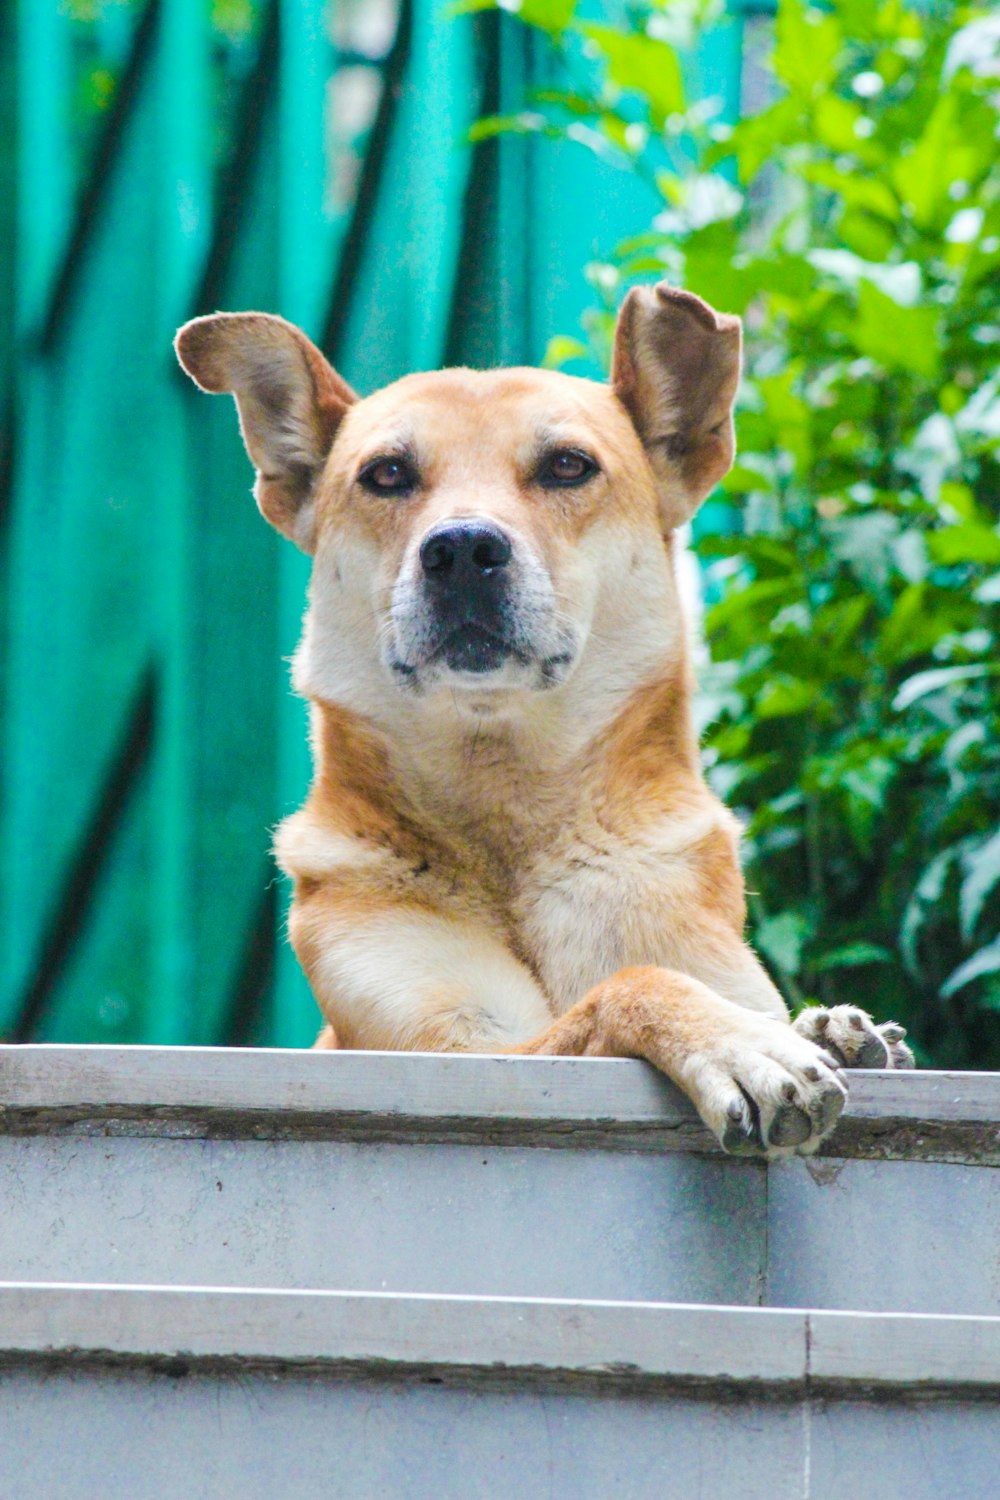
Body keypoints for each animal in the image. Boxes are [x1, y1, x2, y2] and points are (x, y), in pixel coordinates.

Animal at [176, 282, 911, 1152]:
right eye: (386, 474)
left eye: (567, 466)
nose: (461, 549)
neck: (510, 806)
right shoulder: (452, 1047)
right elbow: (628, 986)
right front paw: (742, 1045)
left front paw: (824, 1028)